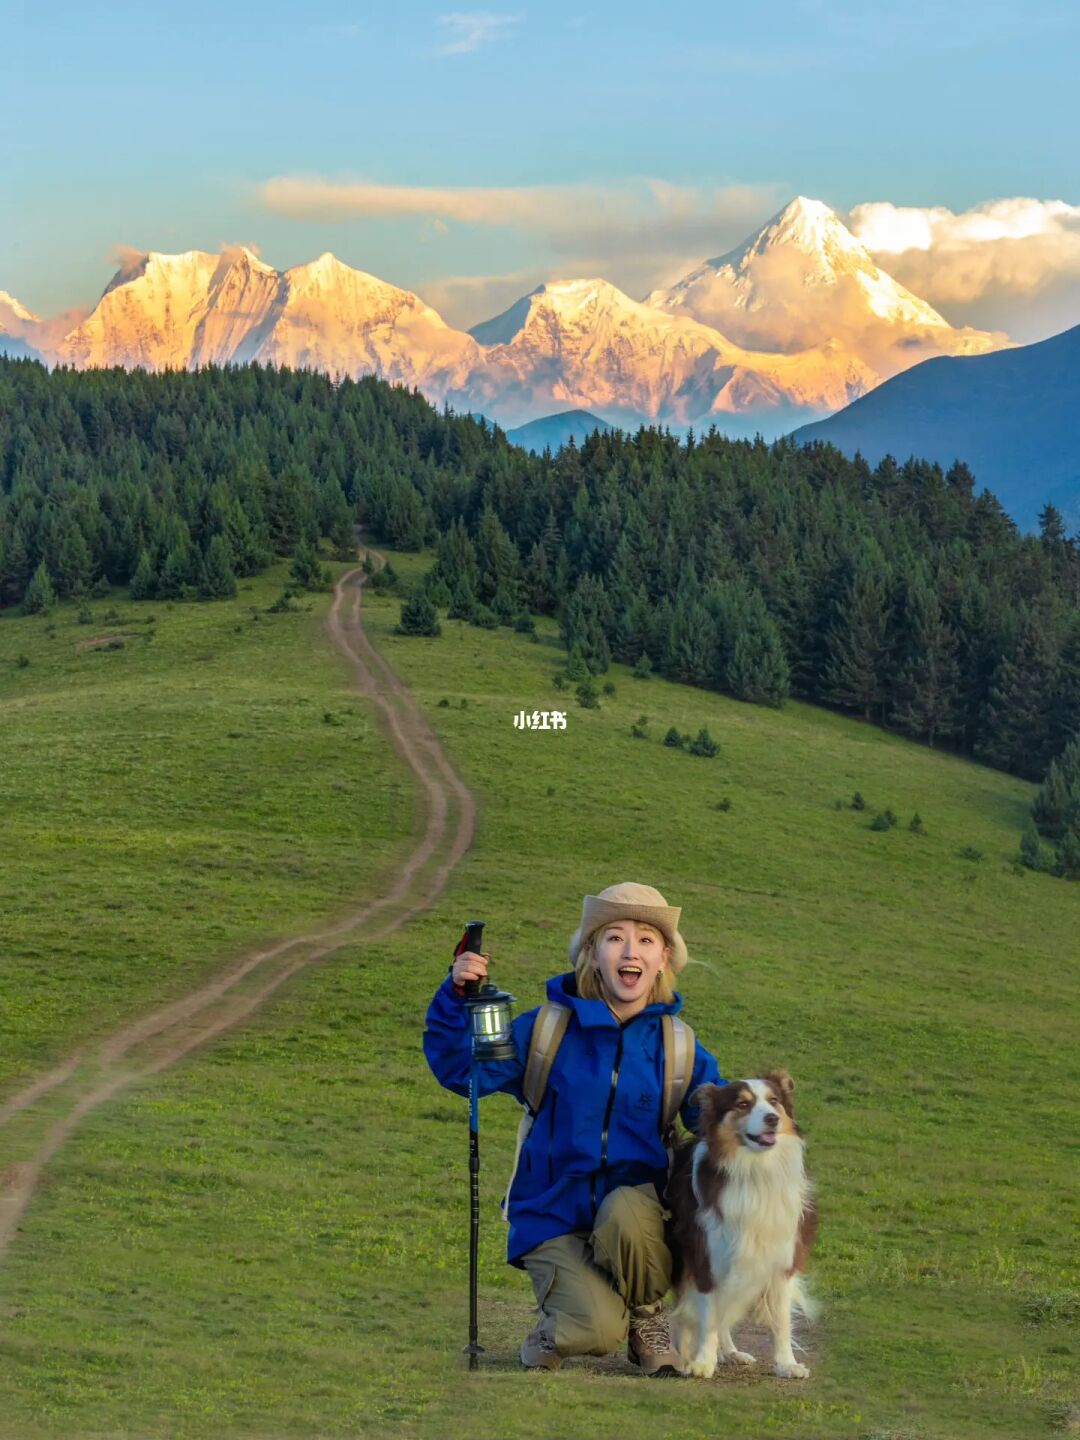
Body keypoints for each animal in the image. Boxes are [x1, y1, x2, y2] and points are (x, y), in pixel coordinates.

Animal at [668, 1077, 817, 1376]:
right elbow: (707, 1315)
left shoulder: (781, 1258)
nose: (772, 1119)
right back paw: (686, 1354)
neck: (755, 1169)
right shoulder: (706, 1257)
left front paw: (786, 1364)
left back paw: (730, 1352)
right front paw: (702, 1361)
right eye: (743, 1104)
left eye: (774, 1101)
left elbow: (781, 1319)